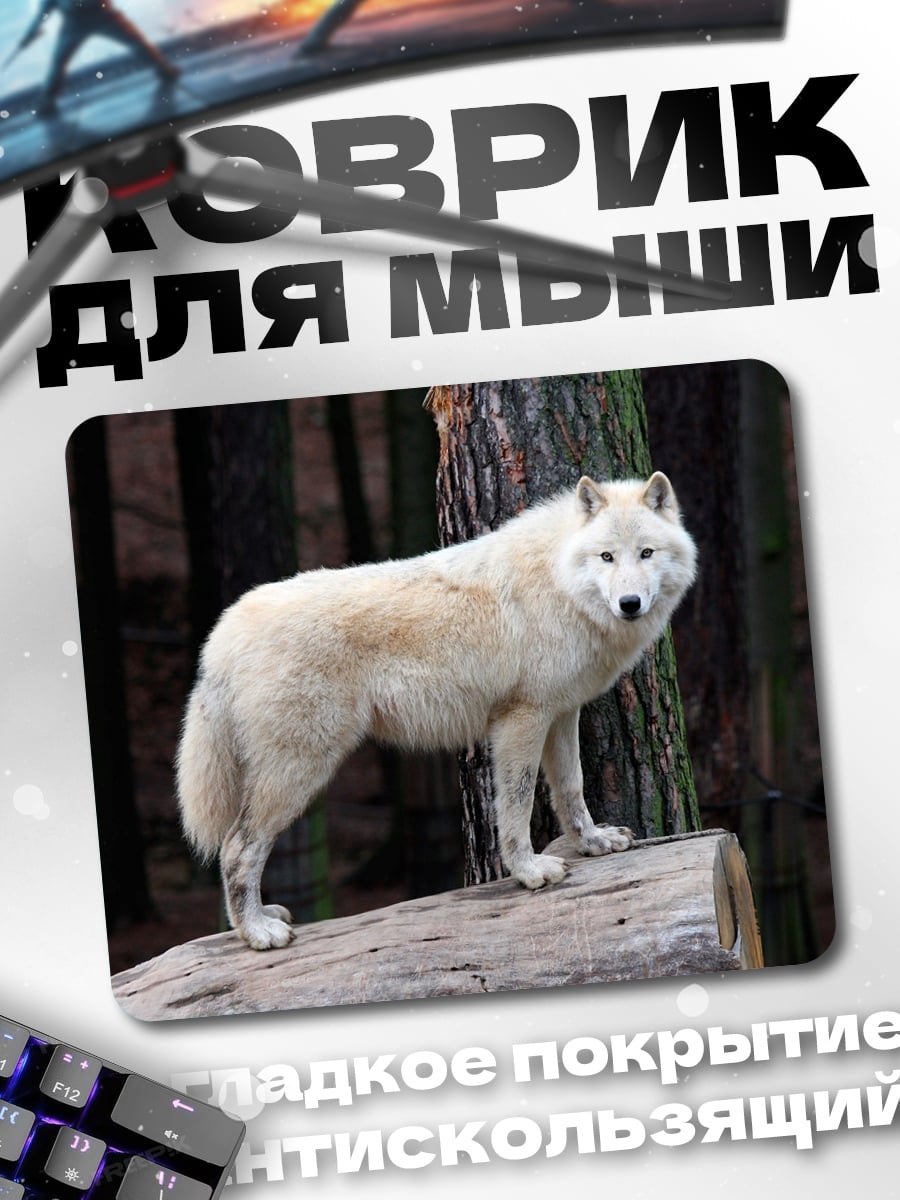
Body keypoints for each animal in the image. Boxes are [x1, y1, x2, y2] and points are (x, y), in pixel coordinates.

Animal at [177, 471, 697, 950]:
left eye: (646, 553)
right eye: (606, 557)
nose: (629, 603)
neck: (559, 581)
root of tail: (223, 633)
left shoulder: (561, 714)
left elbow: (571, 788)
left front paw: (593, 843)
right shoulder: (521, 720)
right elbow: (517, 804)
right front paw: (528, 871)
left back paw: (263, 917)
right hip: (300, 771)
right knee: (236, 848)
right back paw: (257, 932)